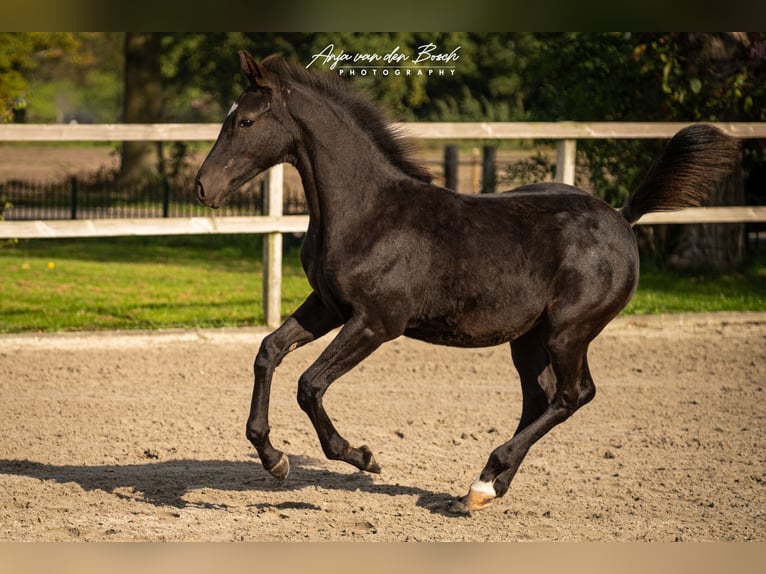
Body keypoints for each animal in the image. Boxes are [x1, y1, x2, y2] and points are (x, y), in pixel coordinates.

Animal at [195, 51, 741, 513]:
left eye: (245, 121)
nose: (203, 187)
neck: (367, 212)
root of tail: (623, 218)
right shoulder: (328, 305)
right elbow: (268, 350)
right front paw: (273, 458)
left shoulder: (376, 322)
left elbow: (310, 385)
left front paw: (361, 455)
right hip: (528, 338)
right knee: (541, 396)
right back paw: (482, 489)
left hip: (569, 331)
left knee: (573, 394)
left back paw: (485, 479)